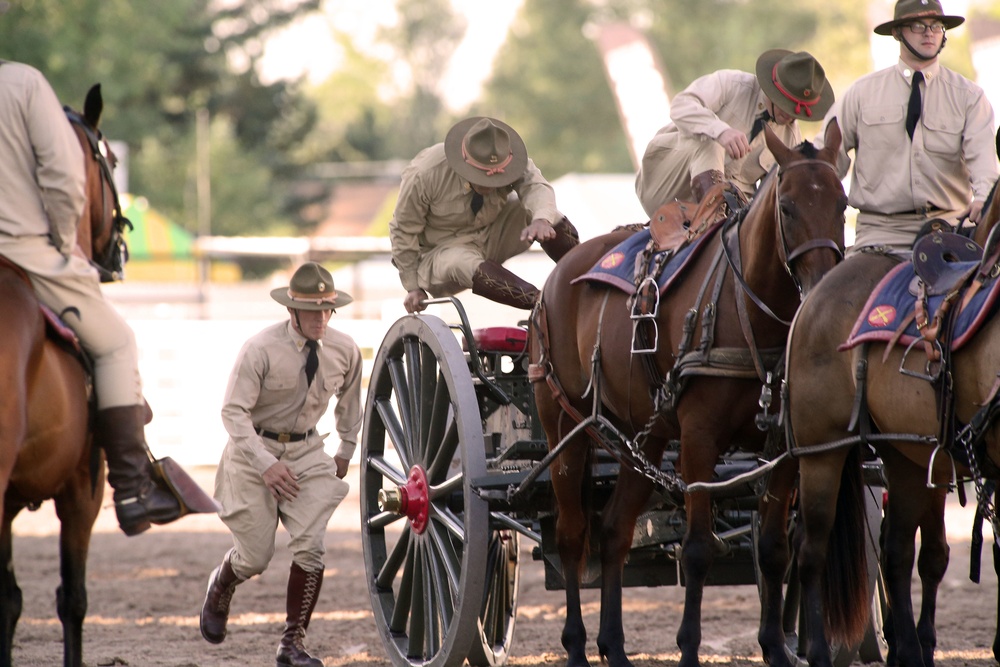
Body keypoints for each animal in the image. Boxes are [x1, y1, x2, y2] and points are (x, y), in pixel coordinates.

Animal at [528, 121, 848, 667]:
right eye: (787, 207)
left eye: (843, 203)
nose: (824, 285)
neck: (746, 308)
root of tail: (557, 276)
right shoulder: (699, 442)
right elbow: (698, 550)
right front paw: (689, 648)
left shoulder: (783, 450)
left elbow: (774, 549)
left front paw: (776, 648)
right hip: (566, 429)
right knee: (572, 536)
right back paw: (575, 646)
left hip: (645, 435)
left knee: (613, 530)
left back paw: (614, 646)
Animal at [784, 177, 1000, 667]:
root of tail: (817, 293)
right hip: (820, 452)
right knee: (811, 550)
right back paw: (817, 649)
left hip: (904, 455)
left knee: (896, 552)